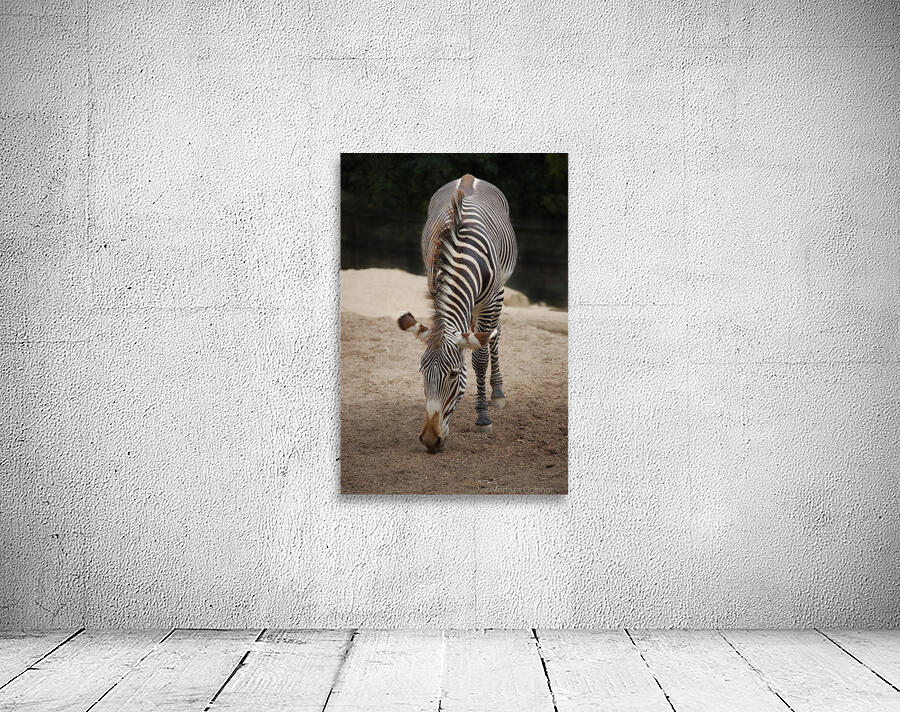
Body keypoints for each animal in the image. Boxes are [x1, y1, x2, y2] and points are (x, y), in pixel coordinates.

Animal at [396, 174, 518, 453]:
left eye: (453, 374)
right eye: (422, 372)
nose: (431, 440)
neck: (461, 253)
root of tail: (468, 177)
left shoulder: (489, 301)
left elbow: (479, 358)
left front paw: (483, 417)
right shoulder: (435, 286)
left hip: (499, 293)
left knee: (495, 335)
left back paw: (497, 392)